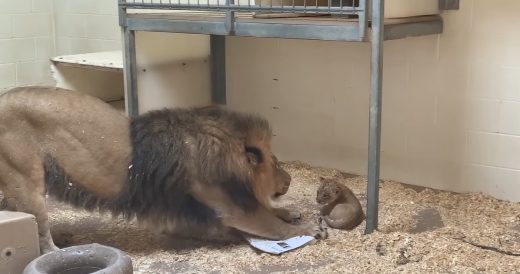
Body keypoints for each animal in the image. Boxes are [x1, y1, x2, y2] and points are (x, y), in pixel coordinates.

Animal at [0, 86, 324, 254]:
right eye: (277, 163)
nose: (290, 179)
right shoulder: (229, 207)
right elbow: (269, 223)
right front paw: (306, 228)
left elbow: (269, 210)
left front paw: (289, 211)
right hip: (27, 182)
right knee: (41, 234)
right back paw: (61, 253)